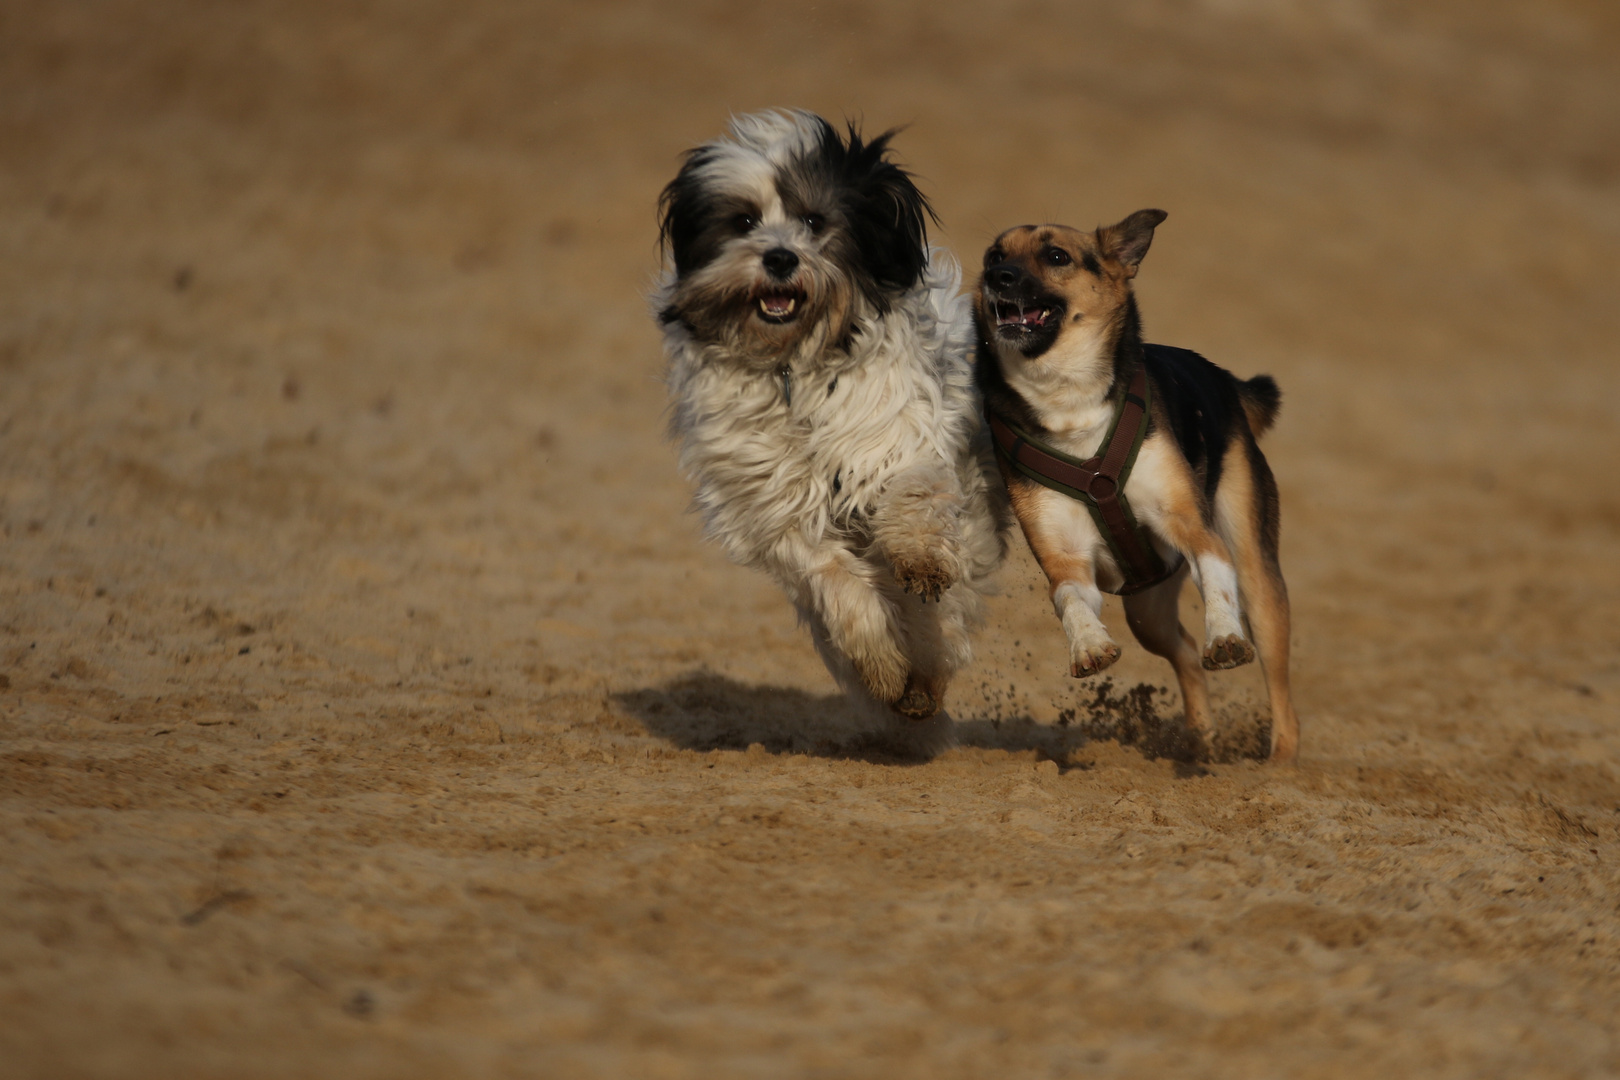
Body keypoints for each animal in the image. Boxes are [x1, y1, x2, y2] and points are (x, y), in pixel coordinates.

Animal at [651, 111, 1004, 735]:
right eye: (743, 221)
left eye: (815, 221)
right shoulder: (774, 507)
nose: (779, 259)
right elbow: (836, 582)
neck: (796, 367)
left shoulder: (892, 440)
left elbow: (912, 504)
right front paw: (881, 665)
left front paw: (920, 562)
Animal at [972, 210, 1302, 764]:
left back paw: (1279, 763)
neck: (1067, 399)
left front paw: (1225, 636)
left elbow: (1216, 577)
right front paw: (1088, 646)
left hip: (1257, 573)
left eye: (1056, 256)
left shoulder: (1190, 524)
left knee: (1277, 678)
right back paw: (1201, 742)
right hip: (1148, 609)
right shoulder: (1064, 557)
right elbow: (1071, 601)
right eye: (994, 255)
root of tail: (1226, 381)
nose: (997, 277)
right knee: (1185, 653)